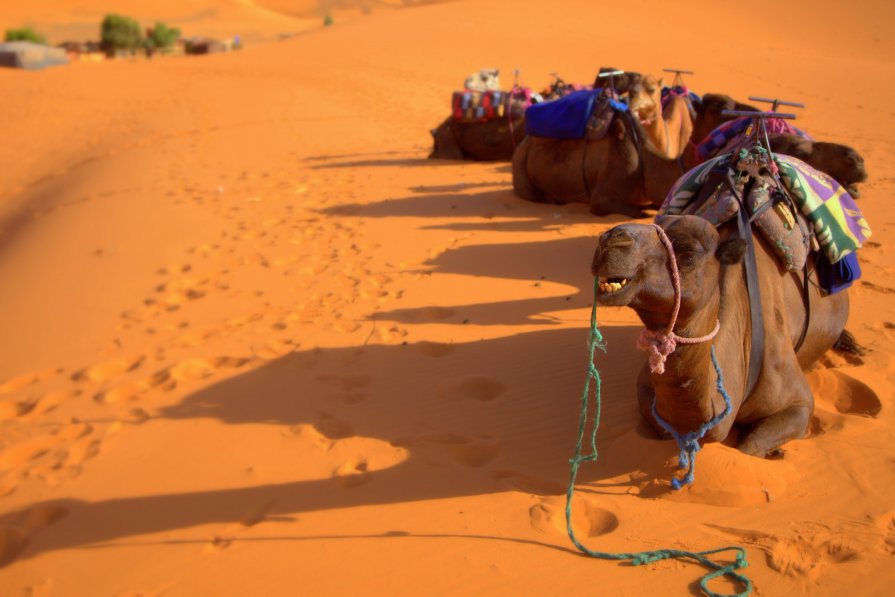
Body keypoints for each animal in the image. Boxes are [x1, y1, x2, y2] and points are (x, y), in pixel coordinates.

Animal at [592, 214, 852, 456]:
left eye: (688, 252)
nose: (611, 239)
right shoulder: (645, 388)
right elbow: (667, 430)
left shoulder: (800, 403)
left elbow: (749, 447)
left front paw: (773, 451)